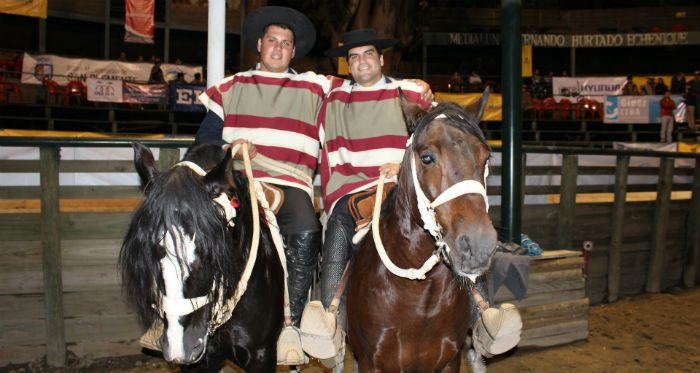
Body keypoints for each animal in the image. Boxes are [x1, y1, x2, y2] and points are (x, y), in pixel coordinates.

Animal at [348, 91, 494, 372]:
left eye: (486, 158)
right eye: (426, 157)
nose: (478, 245)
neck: (421, 295)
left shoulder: (450, 360)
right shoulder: (370, 362)